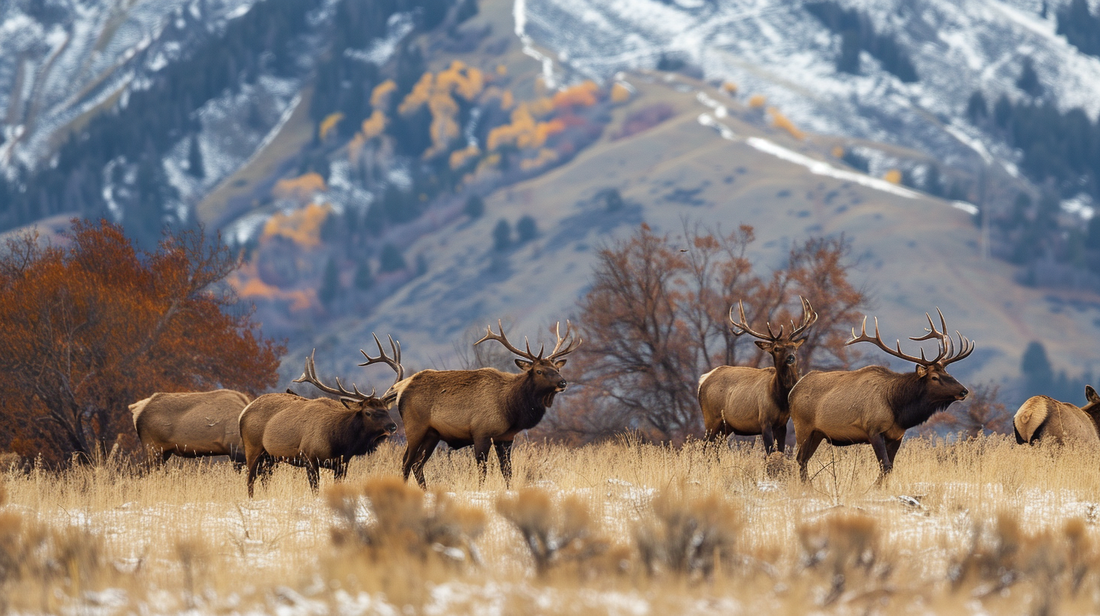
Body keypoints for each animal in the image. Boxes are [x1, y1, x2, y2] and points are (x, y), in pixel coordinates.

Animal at [239, 335, 403, 497]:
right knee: (250, 479)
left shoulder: (342, 463)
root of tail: (243, 412)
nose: (393, 426)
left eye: (386, 410)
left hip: (270, 457)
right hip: (253, 447)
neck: (340, 442)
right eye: (368, 412)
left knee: (265, 478)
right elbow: (315, 490)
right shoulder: (309, 455)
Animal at [390, 321, 581, 488]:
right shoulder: (481, 432)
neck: (511, 408)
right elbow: (483, 470)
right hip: (415, 427)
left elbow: (507, 471)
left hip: (432, 434)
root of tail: (400, 390)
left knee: (417, 463)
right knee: (406, 461)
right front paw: (481, 490)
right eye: (539, 371)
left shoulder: (505, 437)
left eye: (557, 369)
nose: (563, 382)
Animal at [698, 297, 818, 454]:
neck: (780, 398)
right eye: (776, 348)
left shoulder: (782, 424)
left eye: (793, 347)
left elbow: (780, 451)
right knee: (704, 446)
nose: (791, 358)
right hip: (710, 418)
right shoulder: (764, 420)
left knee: (714, 448)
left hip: (725, 426)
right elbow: (769, 452)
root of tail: (703, 380)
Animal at [789, 310, 973, 483]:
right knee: (800, 459)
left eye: (947, 372)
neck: (897, 409)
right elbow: (885, 466)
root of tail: (792, 391)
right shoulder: (873, 430)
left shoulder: (897, 436)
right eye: (934, 377)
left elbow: (890, 467)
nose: (964, 391)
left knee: (804, 459)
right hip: (802, 427)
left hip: (817, 433)